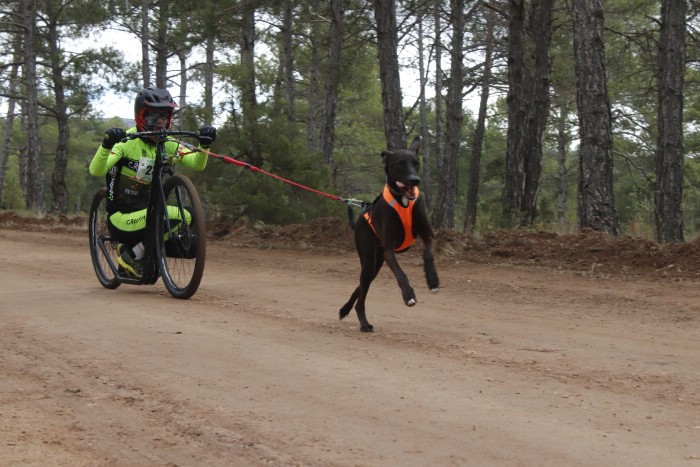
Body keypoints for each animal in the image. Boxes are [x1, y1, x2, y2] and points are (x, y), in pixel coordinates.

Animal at [338, 136, 438, 332]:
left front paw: (432, 280)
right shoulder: (389, 250)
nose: (415, 180)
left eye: (416, 163)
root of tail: (362, 215)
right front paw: (408, 294)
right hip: (369, 260)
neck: (404, 200)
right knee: (361, 296)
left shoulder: (428, 237)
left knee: (360, 288)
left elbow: (428, 254)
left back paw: (346, 310)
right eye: (400, 163)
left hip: (375, 266)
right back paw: (364, 323)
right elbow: (401, 274)